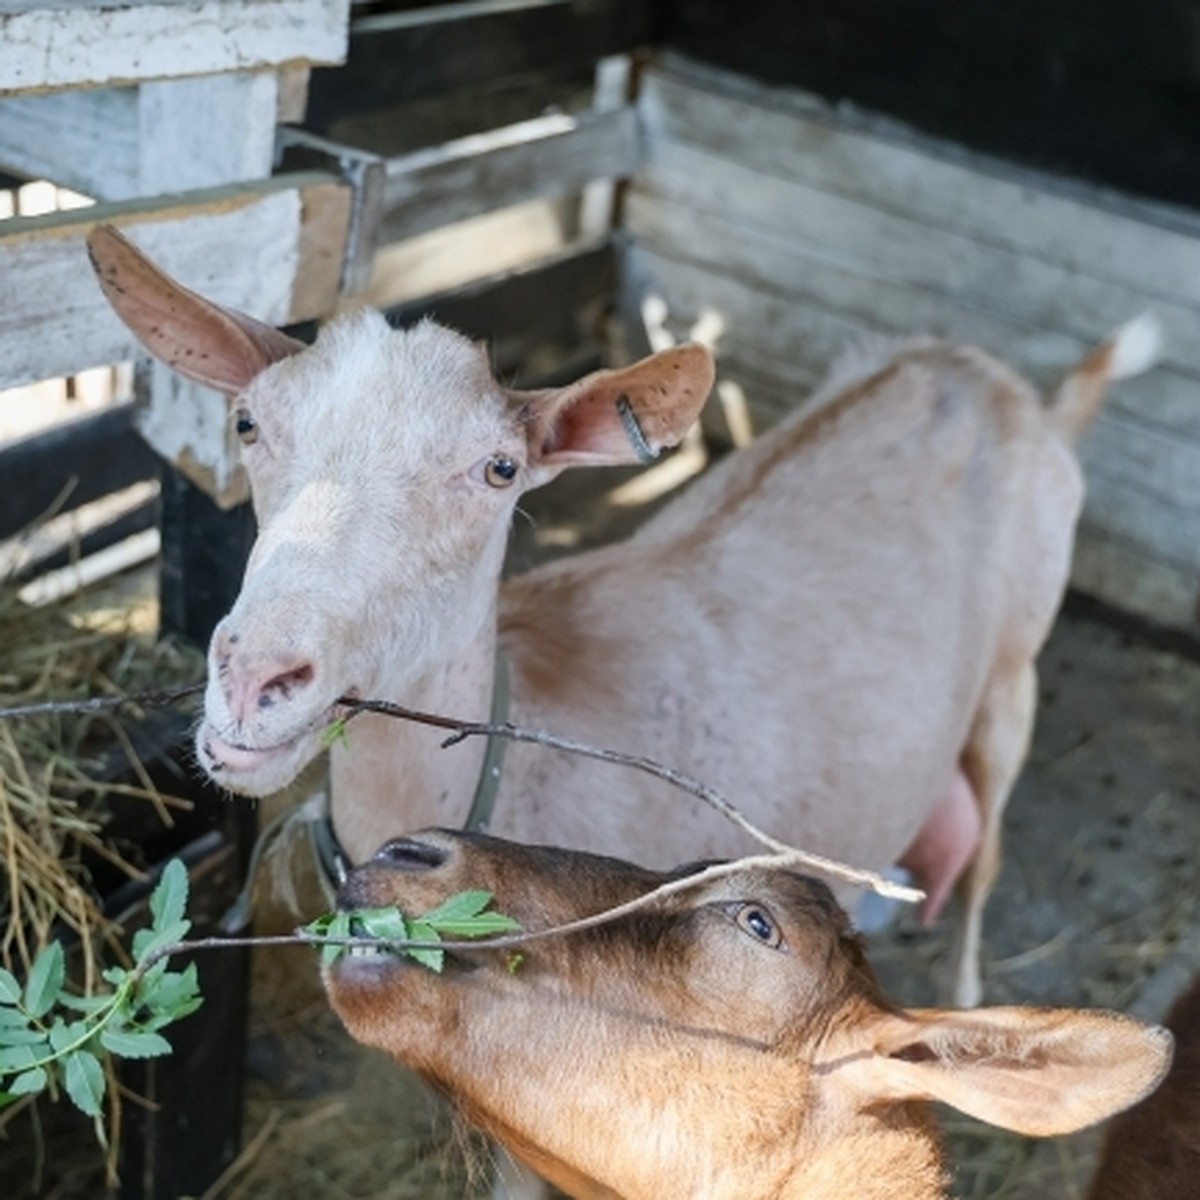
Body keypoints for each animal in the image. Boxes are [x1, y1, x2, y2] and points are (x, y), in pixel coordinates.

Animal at [88, 220, 1156, 1008]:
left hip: (1016, 667)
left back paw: (970, 992)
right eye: (249, 423)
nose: (255, 678)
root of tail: (1020, 393)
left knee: (990, 843)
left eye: (501, 469)